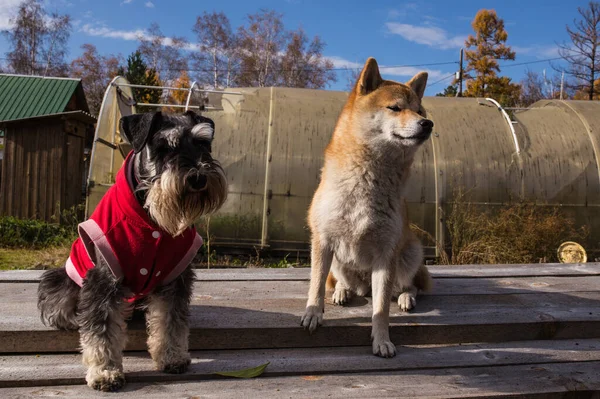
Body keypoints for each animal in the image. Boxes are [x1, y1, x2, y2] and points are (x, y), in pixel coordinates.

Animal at [302, 57, 434, 360]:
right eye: (395, 108)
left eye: (419, 110)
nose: (427, 123)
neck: (366, 181)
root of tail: (363, 284)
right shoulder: (323, 239)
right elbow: (316, 283)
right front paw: (314, 312)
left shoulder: (386, 253)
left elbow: (381, 309)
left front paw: (382, 339)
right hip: (339, 261)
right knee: (342, 281)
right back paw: (342, 291)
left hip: (410, 252)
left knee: (409, 285)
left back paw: (406, 296)